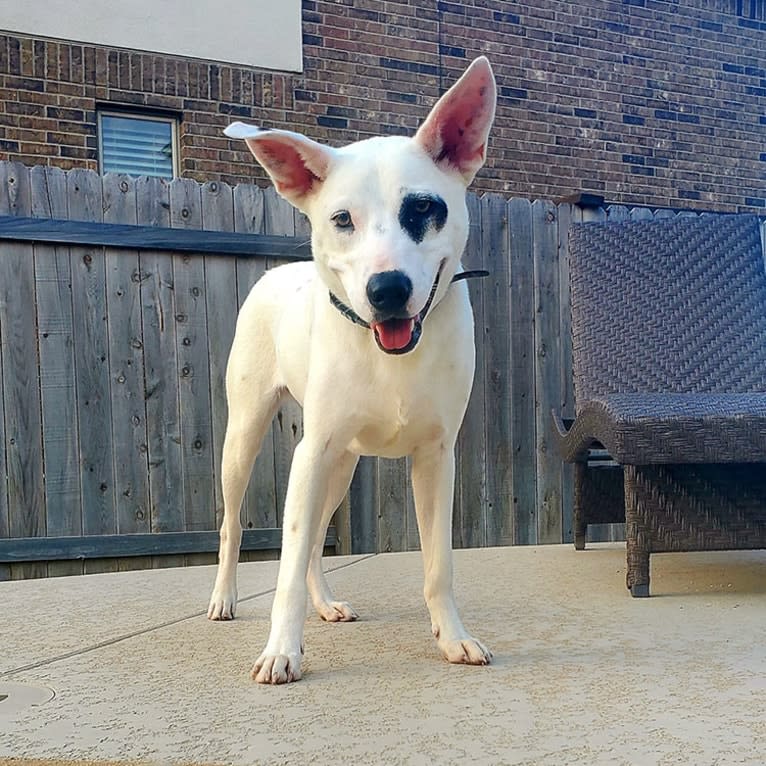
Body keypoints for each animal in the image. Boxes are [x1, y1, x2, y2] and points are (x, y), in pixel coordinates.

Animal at [208, 58, 498, 684]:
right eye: (342, 219)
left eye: (423, 208)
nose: (387, 290)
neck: (388, 355)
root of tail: (274, 273)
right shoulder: (310, 453)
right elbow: (287, 566)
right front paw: (281, 651)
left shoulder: (436, 458)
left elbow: (438, 565)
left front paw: (452, 636)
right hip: (247, 438)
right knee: (235, 523)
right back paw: (222, 599)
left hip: (340, 466)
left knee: (318, 537)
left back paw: (325, 604)